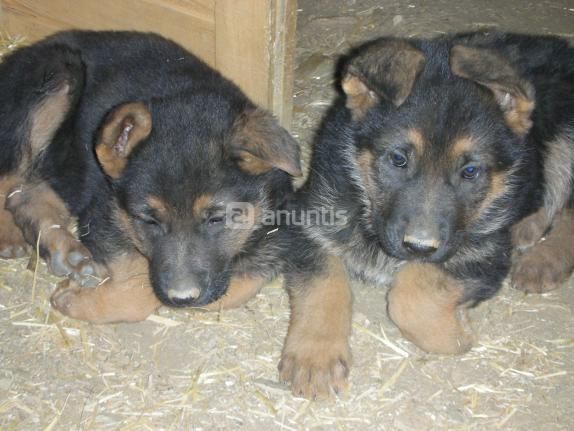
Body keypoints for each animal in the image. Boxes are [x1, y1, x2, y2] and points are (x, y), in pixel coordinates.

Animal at [0, 32, 304, 322]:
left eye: (217, 219)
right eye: (149, 220)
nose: (181, 297)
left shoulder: (275, 234)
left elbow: (240, 284)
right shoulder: (105, 211)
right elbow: (138, 285)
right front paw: (77, 298)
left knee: (25, 195)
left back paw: (64, 252)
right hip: (59, 73)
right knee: (9, 181)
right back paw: (13, 238)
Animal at [280, 32, 574, 400]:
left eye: (470, 171)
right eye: (398, 159)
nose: (419, 248)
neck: (367, 204)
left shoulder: (485, 255)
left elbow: (411, 295)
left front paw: (455, 334)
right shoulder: (307, 218)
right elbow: (322, 284)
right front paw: (315, 356)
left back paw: (544, 260)